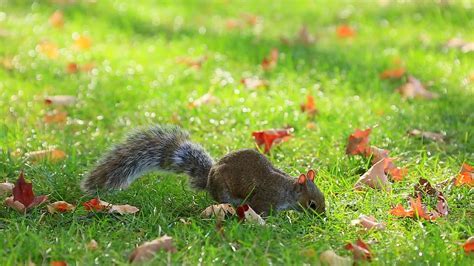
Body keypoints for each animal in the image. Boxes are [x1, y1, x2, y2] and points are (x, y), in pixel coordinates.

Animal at [81, 125, 326, 215]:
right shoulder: (265, 199)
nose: (322, 216)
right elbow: (261, 210)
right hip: (225, 192)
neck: (288, 189)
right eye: (312, 204)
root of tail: (209, 178)